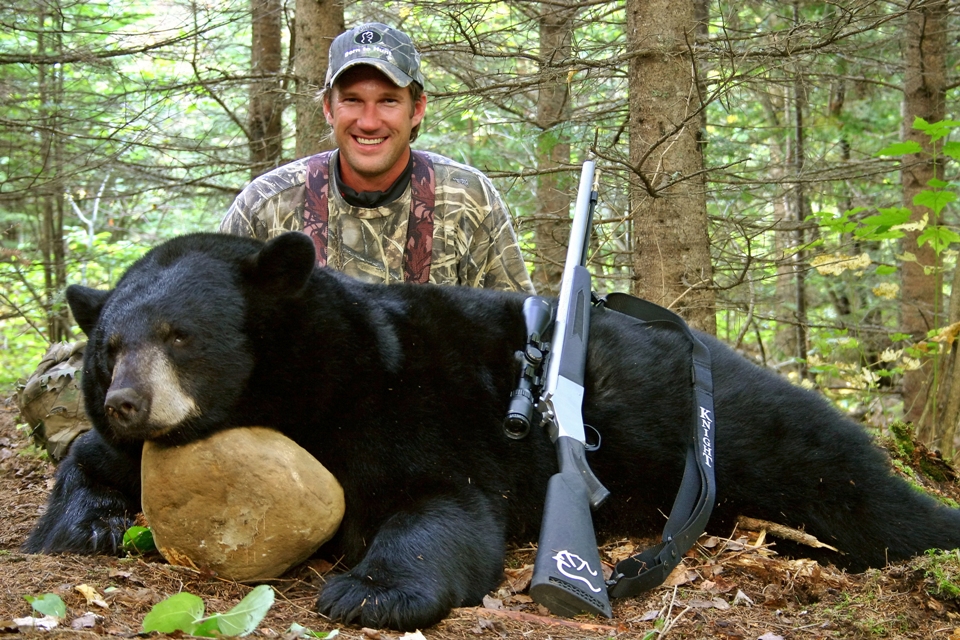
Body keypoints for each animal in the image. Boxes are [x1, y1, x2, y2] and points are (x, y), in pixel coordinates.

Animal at [23, 231, 960, 631]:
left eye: (181, 335)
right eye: (109, 347)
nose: (128, 402)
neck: (302, 383)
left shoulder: (403, 399)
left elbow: (442, 500)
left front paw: (367, 589)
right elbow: (88, 460)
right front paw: (78, 522)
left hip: (738, 428)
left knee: (857, 490)